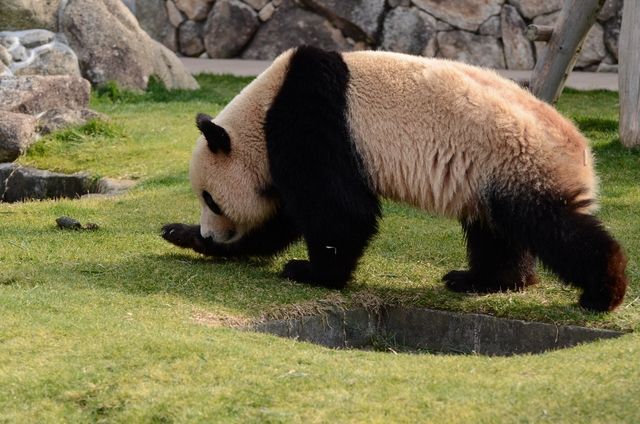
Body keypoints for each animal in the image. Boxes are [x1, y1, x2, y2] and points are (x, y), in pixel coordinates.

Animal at [161, 45, 632, 312]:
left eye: (212, 199)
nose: (212, 232)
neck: (262, 109)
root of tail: (581, 153)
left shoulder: (315, 118)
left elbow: (338, 212)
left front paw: (310, 272)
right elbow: (292, 216)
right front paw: (183, 235)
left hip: (518, 161)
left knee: (550, 225)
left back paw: (602, 291)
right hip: (491, 171)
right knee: (497, 230)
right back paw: (484, 281)